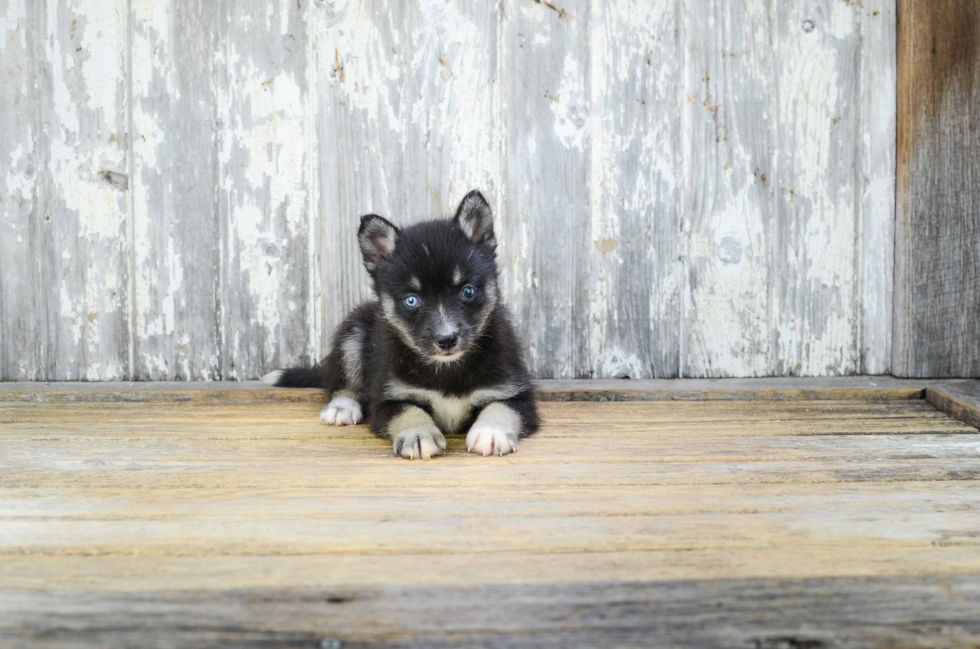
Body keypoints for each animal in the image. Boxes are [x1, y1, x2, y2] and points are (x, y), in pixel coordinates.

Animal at [264, 190, 540, 458]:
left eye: (468, 291)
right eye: (411, 300)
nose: (447, 339)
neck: (447, 370)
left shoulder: (517, 393)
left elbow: (500, 407)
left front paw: (490, 432)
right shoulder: (388, 399)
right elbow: (409, 411)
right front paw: (418, 435)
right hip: (353, 334)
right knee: (343, 384)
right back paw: (342, 406)